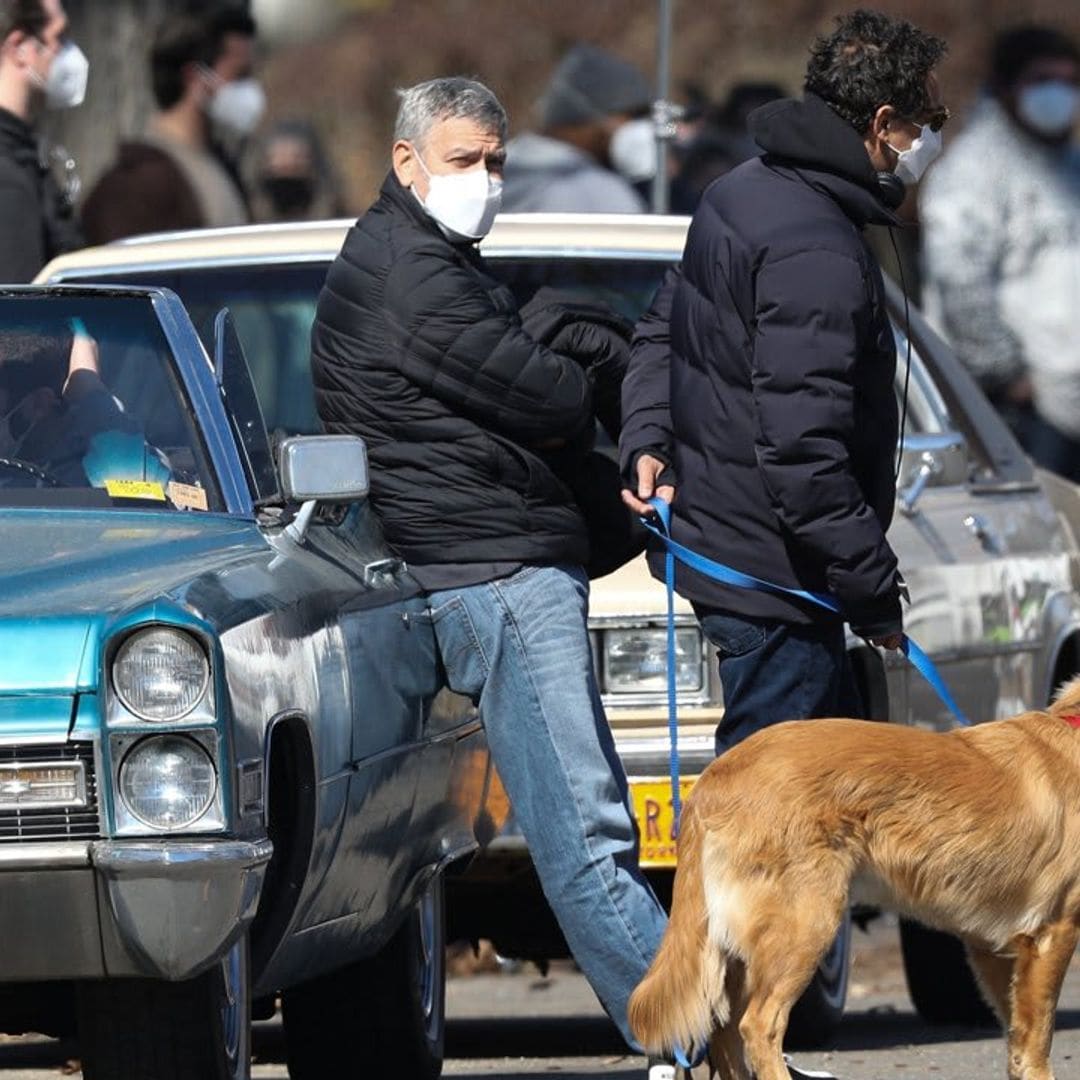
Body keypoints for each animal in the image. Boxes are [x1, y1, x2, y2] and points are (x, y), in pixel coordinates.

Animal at [626, 678, 1080, 1075]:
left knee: (723, 1034)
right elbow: (1037, 1038)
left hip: (738, 948)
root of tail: (713, 778)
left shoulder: (992, 947)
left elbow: (1016, 1039)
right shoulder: (1053, 934)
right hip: (806, 926)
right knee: (757, 1026)